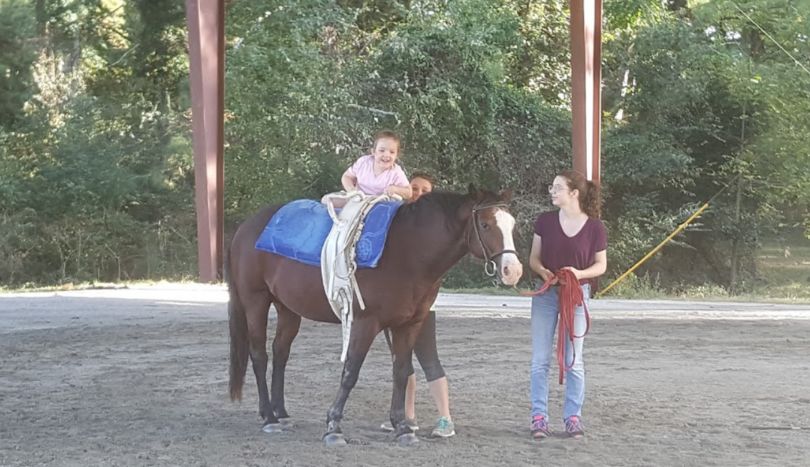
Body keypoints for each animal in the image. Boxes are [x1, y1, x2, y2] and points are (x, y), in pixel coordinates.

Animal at [224, 187, 520, 446]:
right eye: (485, 225)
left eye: (512, 225)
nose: (513, 270)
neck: (407, 252)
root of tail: (246, 227)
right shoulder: (365, 324)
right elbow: (350, 372)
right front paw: (334, 427)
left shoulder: (409, 325)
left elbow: (401, 372)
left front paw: (402, 428)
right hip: (256, 301)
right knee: (259, 355)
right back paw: (269, 418)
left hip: (288, 309)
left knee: (280, 353)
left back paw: (281, 413)